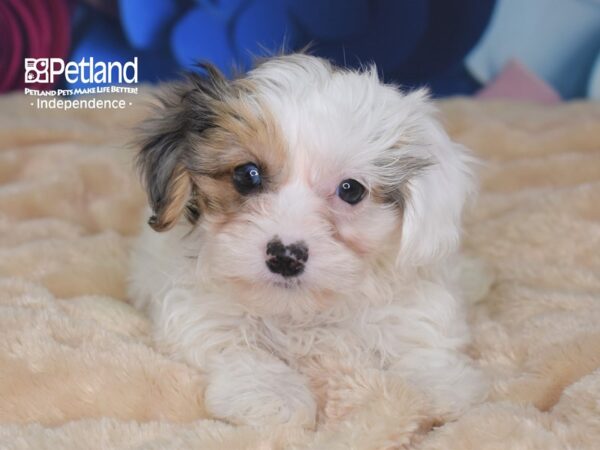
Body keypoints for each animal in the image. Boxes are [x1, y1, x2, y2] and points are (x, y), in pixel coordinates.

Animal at [130, 53, 488, 428]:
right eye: (247, 175)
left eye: (351, 189)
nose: (285, 256)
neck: (304, 313)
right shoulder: (198, 311)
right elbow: (235, 344)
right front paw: (273, 393)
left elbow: (419, 333)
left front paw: (436, 382)